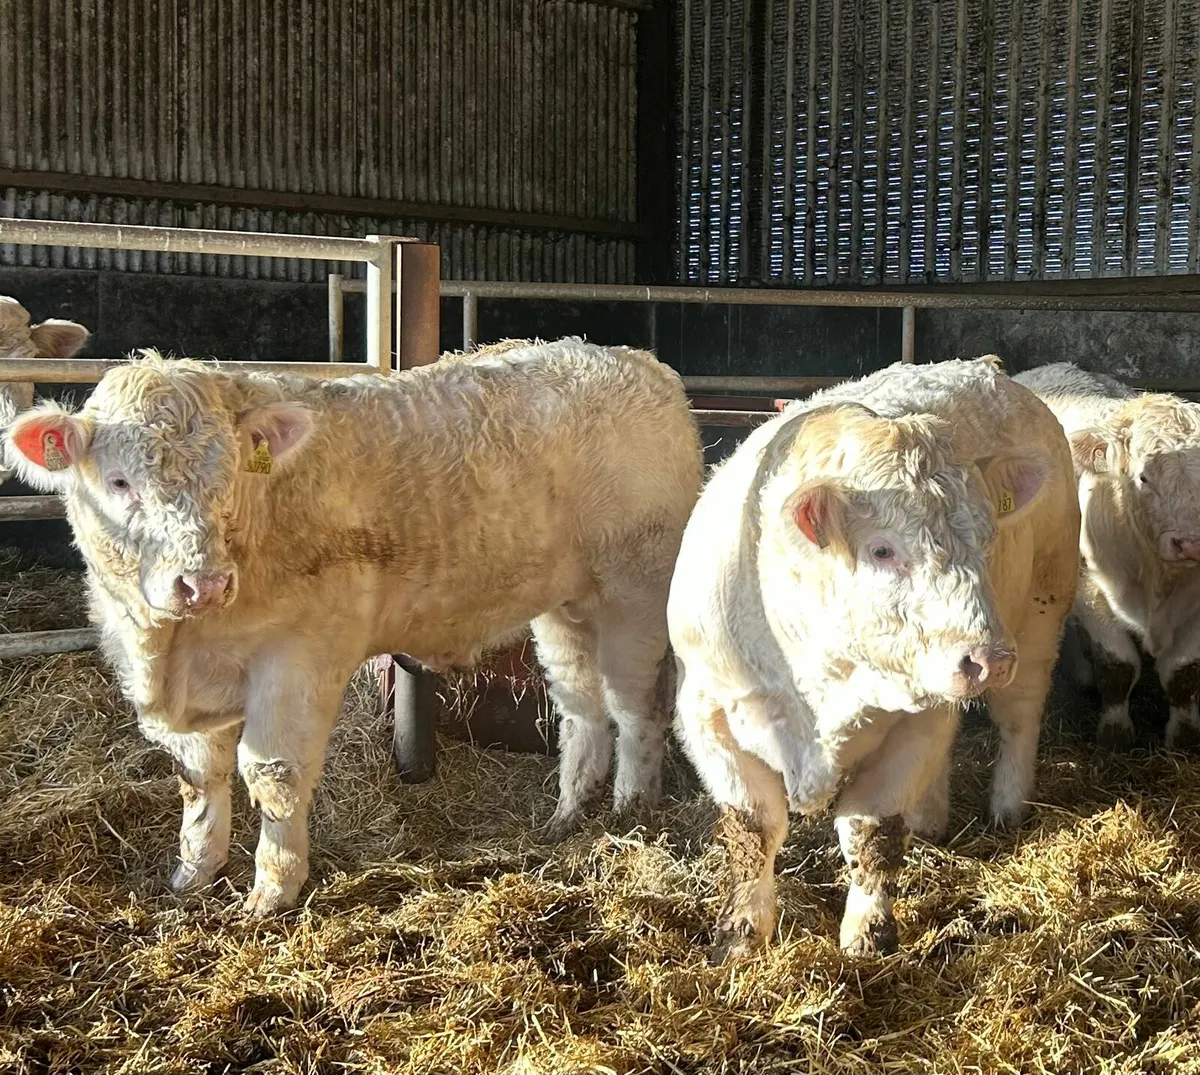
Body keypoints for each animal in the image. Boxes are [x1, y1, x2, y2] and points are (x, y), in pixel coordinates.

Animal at [5, 338, 703, 914]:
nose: (203, 583)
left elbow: (274, 772)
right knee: (582, 705)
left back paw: (631, 812)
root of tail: (636, 362)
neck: (172, 649)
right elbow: (198, 776)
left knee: (636, 705)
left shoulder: (300, 653)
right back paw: (567, 815)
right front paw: (193, 874)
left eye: (225, 479)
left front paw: (272, 892)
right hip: (564, 604)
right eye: (119, 481)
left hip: (637, 590)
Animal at [668, 357, 1079, 959]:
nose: (985, 659)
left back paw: (1007, 806)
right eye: (882, 550)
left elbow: (872, 829)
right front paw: (741, 933)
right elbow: (753, 826)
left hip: (1041, 608)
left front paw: (867, 934)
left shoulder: (914, 724)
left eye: (987, 538)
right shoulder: (709, 709)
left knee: (1020, 717)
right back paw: (930, 817)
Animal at [1013, 362, 1200, 750]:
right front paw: (1115, 735)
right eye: (1143, 478)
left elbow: (1182, 673)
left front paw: (1185, 738)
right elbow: (1118, 665)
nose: (1190, 543)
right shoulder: (1092, 591)